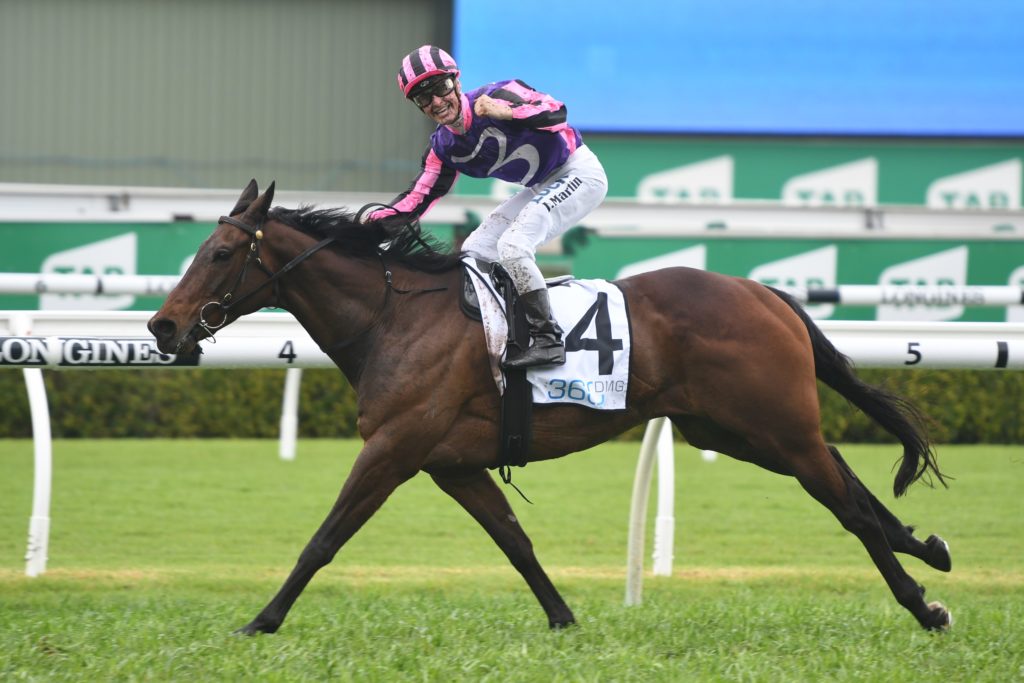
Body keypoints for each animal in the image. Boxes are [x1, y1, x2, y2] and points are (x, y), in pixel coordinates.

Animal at [148, 180, 953, 635]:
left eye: (221, 253)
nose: (162, 326)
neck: (392, 318)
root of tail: (763, 291)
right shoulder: (450, 463)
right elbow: (516, 542)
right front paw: (564, 618)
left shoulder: (394, 449)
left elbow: (322, 540)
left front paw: (261, 620)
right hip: (733, 427)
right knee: (850, 481)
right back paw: (929, 547)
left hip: (772, 424)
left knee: (848, 506)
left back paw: (923, 604)